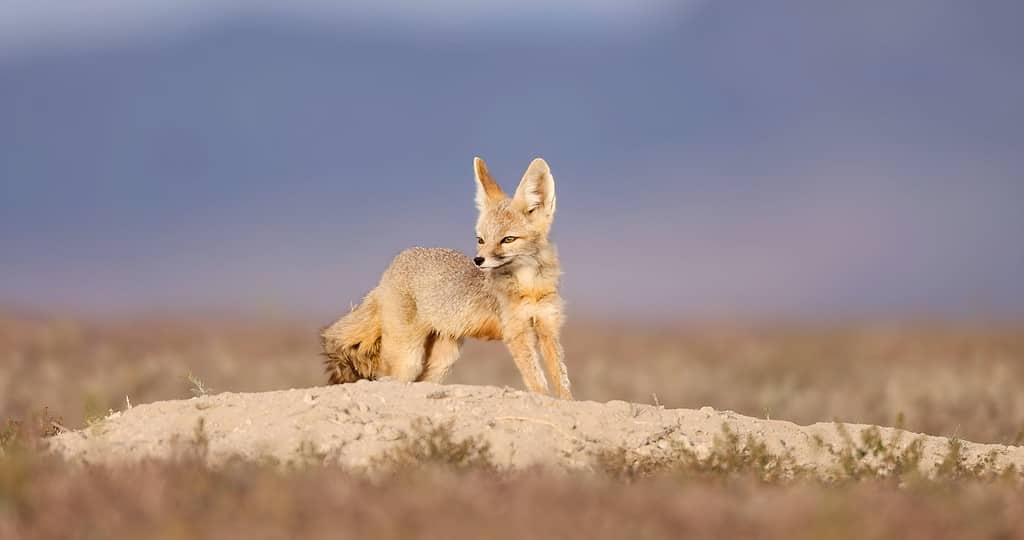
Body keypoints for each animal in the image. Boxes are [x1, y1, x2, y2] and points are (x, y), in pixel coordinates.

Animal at [319, 154, 573, 399]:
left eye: (508, 239)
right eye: (481, 240)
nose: (478, 260)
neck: (531, 287)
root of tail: (392, 267)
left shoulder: (548, 328)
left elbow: (561, 380)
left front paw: (565, 402)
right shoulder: (517, 334)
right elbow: (537, 381)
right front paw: (545, 400)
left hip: (443, 359)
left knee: (421, 382)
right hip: (409, 358)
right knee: (387, 377)